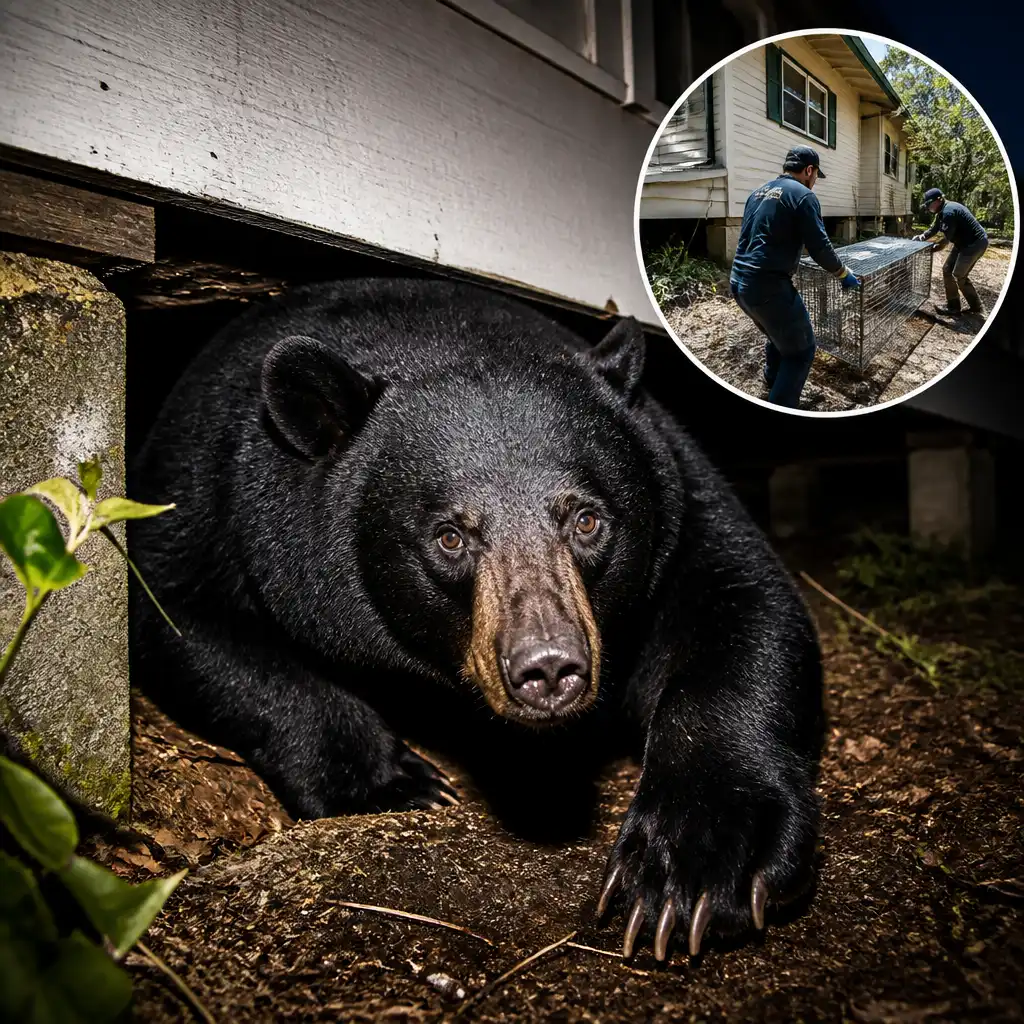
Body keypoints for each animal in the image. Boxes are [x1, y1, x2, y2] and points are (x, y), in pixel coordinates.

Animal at [128, 276, 825, 963]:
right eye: (451, 537)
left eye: (586, 520)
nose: (549, 669)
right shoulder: (218, 482)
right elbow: (174, 613)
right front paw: (400, 782)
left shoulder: (674, 480)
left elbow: (743, 601)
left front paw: (697, 866)